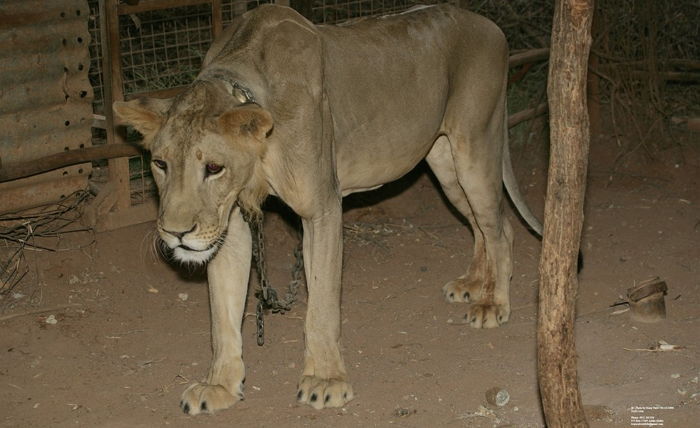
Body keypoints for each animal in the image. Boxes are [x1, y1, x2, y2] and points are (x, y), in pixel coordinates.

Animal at [113, 4, 540, 414]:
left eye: (214, 168)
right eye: (160, 164)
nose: (176, 233)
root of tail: (490, 26)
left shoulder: (321, 209)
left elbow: (320, 307)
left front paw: (325, 381)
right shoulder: (228, 223)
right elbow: (223, 314)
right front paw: (219, 386)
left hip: (475, 147)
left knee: (500, 228)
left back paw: (493, 303)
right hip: (445, 164)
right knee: (481, 225)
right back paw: (474, 285)